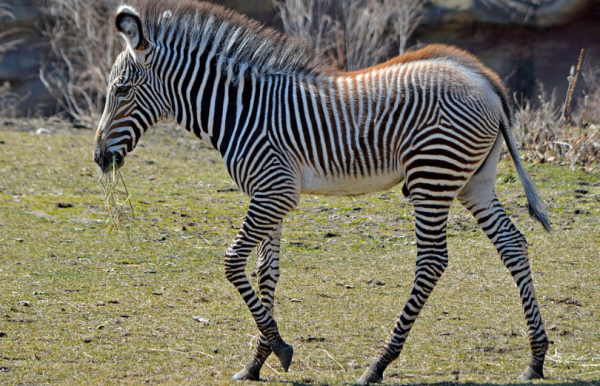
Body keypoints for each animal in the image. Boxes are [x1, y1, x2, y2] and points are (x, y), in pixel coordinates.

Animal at [95, 1, 552, 382]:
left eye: (121, 90)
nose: (99, 158)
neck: (240, 110)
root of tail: (485, 80)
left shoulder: (273, 191)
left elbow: (231, 262)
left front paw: (279, 347)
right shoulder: (270, 194)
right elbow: (266, 271)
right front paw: (258, 361)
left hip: (432, 176)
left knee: (432, 261)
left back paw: (379, 363)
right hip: (475, 181)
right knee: (513, 244)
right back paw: (536, 358)